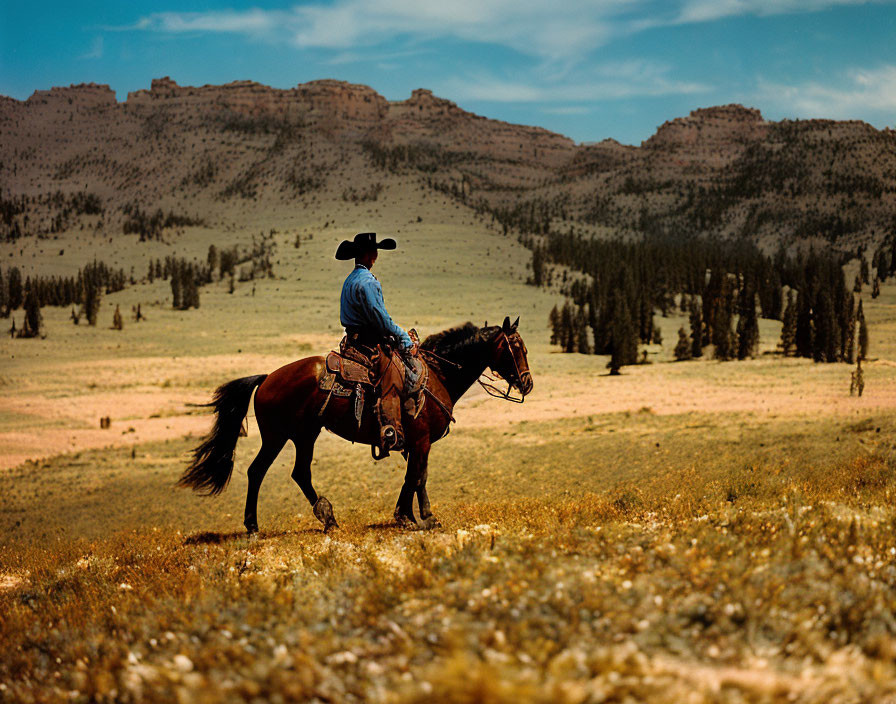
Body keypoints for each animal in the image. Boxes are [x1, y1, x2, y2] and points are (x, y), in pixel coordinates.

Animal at [180, 316, 532, 532]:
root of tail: (267, 378)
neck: (437, 374)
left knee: (299, 473)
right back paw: (254, 525)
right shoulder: (421, 440)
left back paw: (328, 518)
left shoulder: (414, 443)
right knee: (257, 471)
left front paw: (409, 516)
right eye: (515, 347)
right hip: (277, 436)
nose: (527, 383)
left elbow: (413, 477)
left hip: (304, 434)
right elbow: (418, 477)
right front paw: (421, 518)